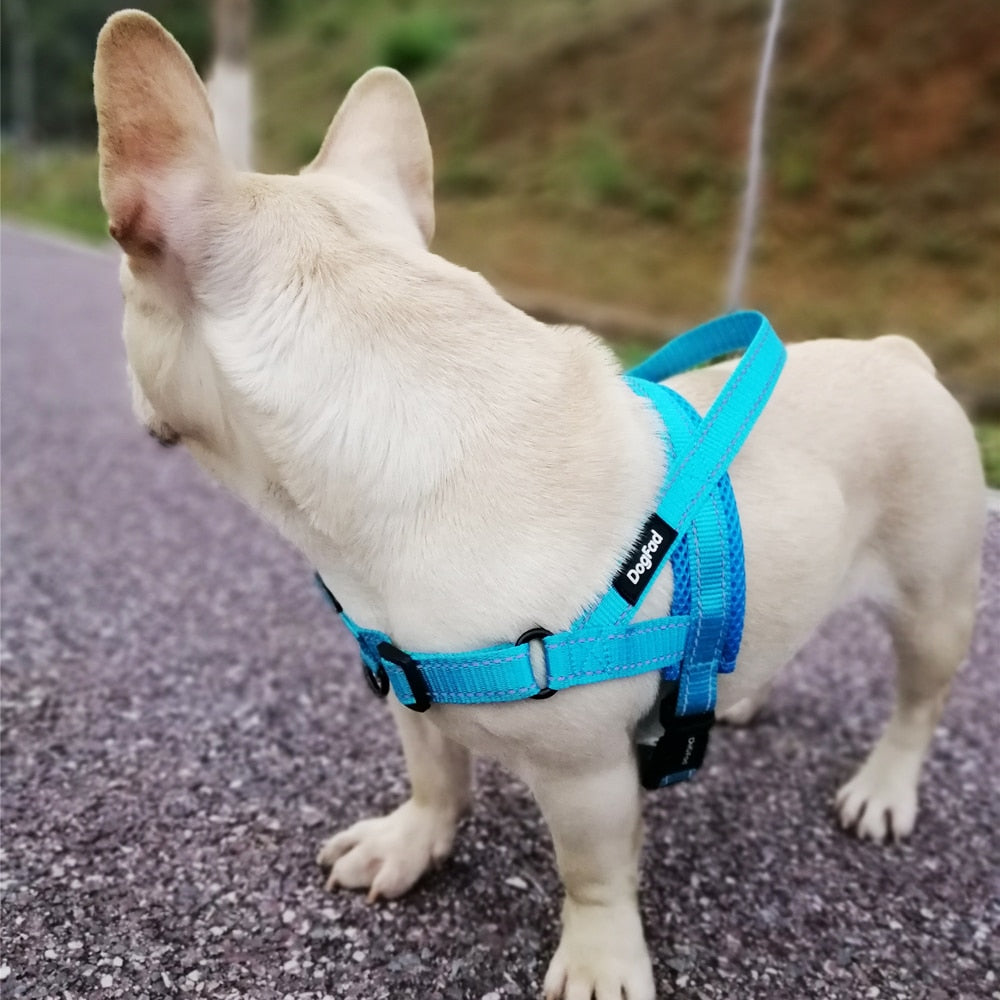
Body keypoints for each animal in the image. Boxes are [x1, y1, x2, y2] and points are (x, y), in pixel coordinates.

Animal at [94, 11, 984, 996]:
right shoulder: (410, 685)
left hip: (933, 594)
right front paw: (413, 841)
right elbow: (436, 774)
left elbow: (590, 869)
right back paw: (739, 696)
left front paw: (599, 957)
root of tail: (902, 354)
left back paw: (885, 788)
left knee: (918, 701)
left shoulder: (586, 774)